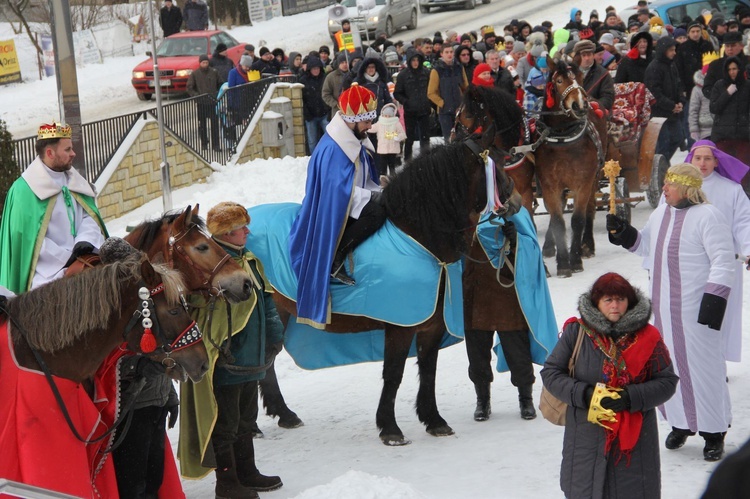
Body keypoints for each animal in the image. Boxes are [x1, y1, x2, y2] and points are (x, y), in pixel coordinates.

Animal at [250, 130, 520, 446]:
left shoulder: (432, 326)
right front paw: (390, 428)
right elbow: (393, 373)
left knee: (265, 359)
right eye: (497, 169)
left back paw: (282, 414)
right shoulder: (400, 326)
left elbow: (428, 370)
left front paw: (434, 420)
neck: (420, 239)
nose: (516, 200)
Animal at [532, 57, 608, 282]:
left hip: (595, 177)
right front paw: (563, 263)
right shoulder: (549, 185)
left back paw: (587, 245)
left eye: (581, 76)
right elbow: (558, 221)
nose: (580, 105)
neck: (563, 139)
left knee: (590, 208)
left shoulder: (583, 183)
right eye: (558, 81)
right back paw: (549, 246)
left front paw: (574, 260)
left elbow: (577, 220)